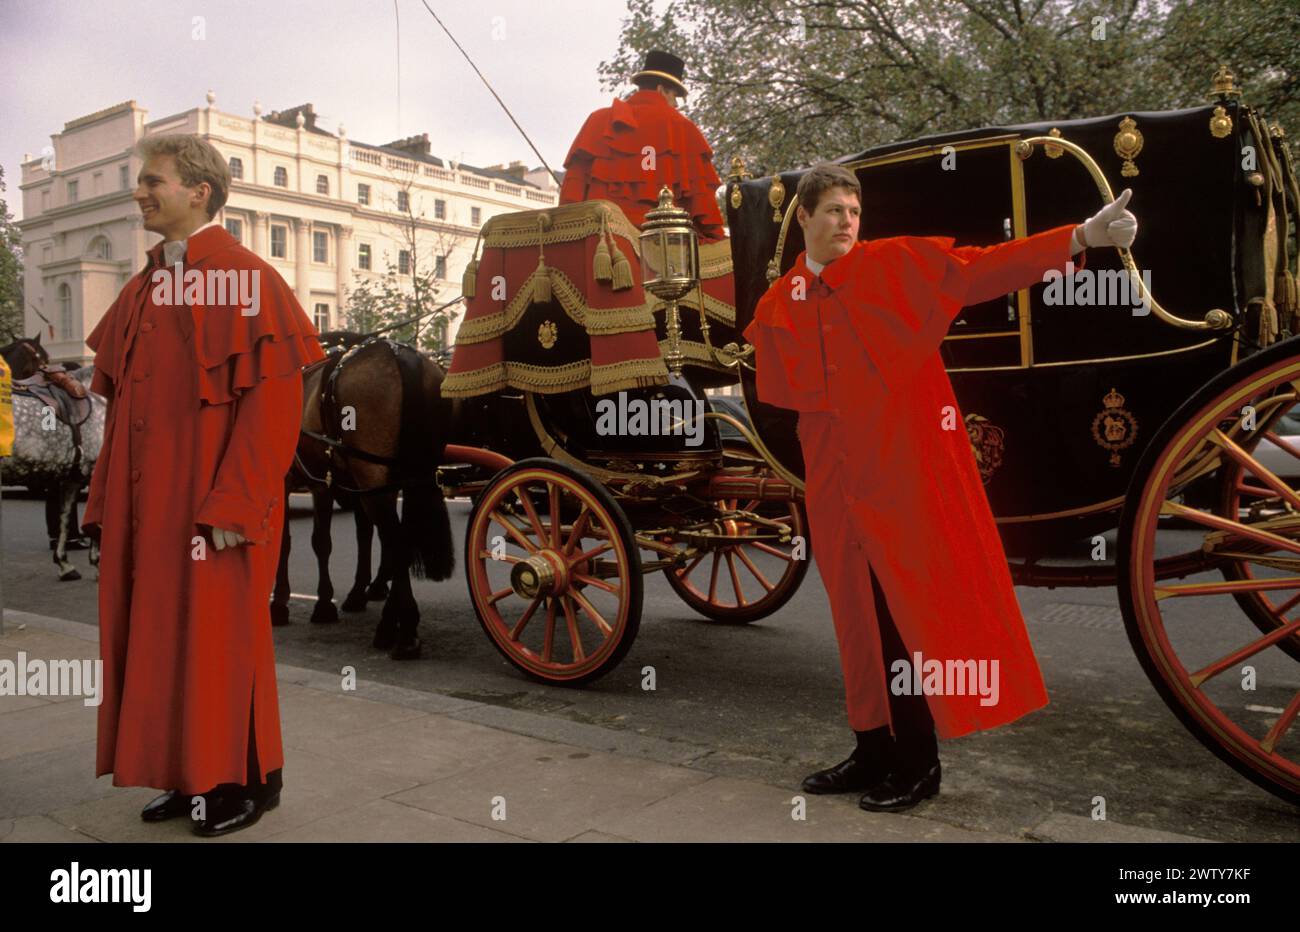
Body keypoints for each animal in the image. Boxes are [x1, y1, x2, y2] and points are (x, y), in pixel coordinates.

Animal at [271, 337, 454, 657]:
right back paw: (393, 619)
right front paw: (355, 593)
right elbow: (362, 535)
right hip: (400, 478)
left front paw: (297, 603)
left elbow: (305, 541)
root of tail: (399, 354)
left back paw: (403, 631)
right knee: (396, 539)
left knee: (396, 540)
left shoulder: (306, 482)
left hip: (371, 474)